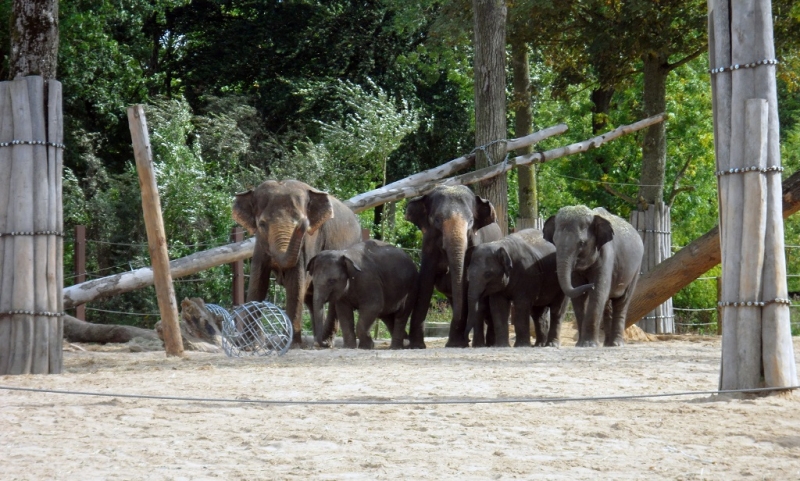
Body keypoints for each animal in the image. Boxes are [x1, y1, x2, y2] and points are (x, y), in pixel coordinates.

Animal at [233, 179, 360, 344]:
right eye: (262, 224)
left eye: (300, 221)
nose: (304, 222)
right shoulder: (260, 244)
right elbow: (258, 281)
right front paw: (248, 345)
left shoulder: (311, 240)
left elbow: (296, 282)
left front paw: (291, 344)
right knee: (311, 298)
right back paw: (319, 340)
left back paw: (325, 342)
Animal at [406, 185, 500, 348]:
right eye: (437, 219)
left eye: (471, 221)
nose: (466, 337)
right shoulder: (428, 244)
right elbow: (425, 282)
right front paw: (416, 346)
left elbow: (464, 284)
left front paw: (455, 344)